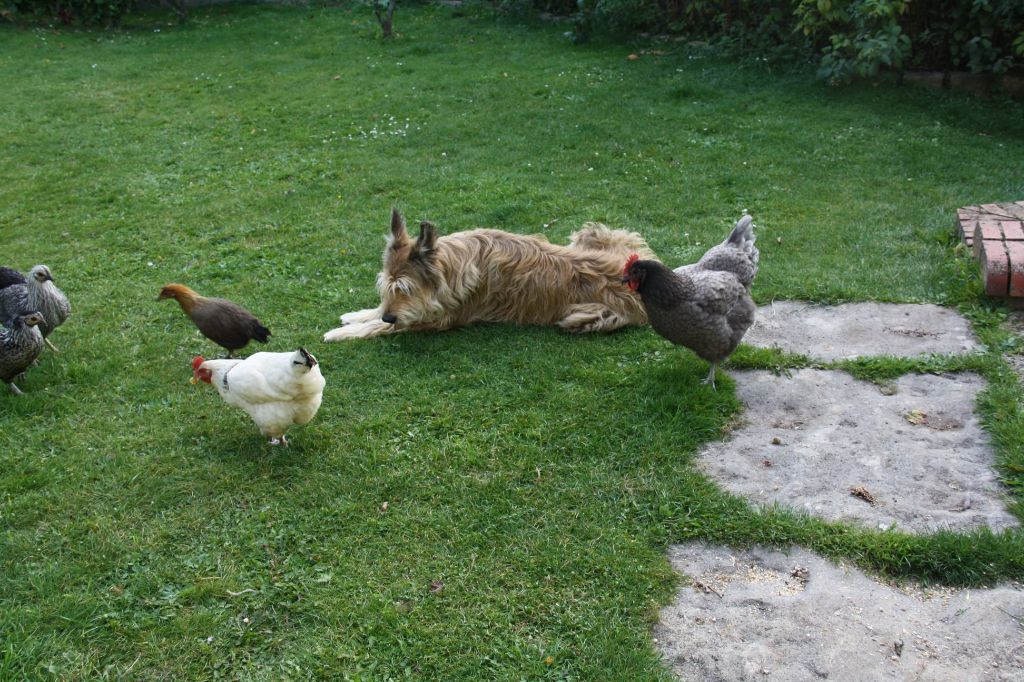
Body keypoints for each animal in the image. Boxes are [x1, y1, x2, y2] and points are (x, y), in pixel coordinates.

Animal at [321, 206, 655, 339]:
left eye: (407, 290)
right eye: (387, 287)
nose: (391, 315)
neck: (450, 265)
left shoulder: (436, 319)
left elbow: (381, 328)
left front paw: (340, 333)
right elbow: (375, 314)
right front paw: (356, 315)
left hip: (584, 316)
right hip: (593, 233)